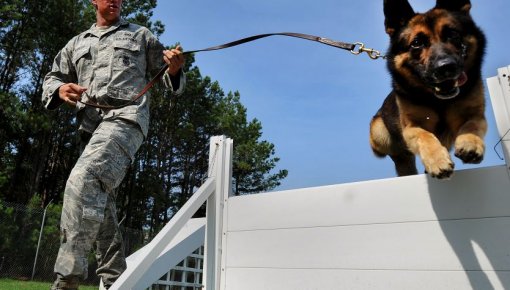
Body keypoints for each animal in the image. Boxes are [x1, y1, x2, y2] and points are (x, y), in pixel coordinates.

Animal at [370, 0, 486, 179]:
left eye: (452, 34)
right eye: (416, 43)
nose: (445, 67)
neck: (437, 101)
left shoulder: (476, 114)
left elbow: (472, 124)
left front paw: (470, 142)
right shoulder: (411, 126)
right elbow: (424, 136)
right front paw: (437, 160)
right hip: (378, 132)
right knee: (402, 158)